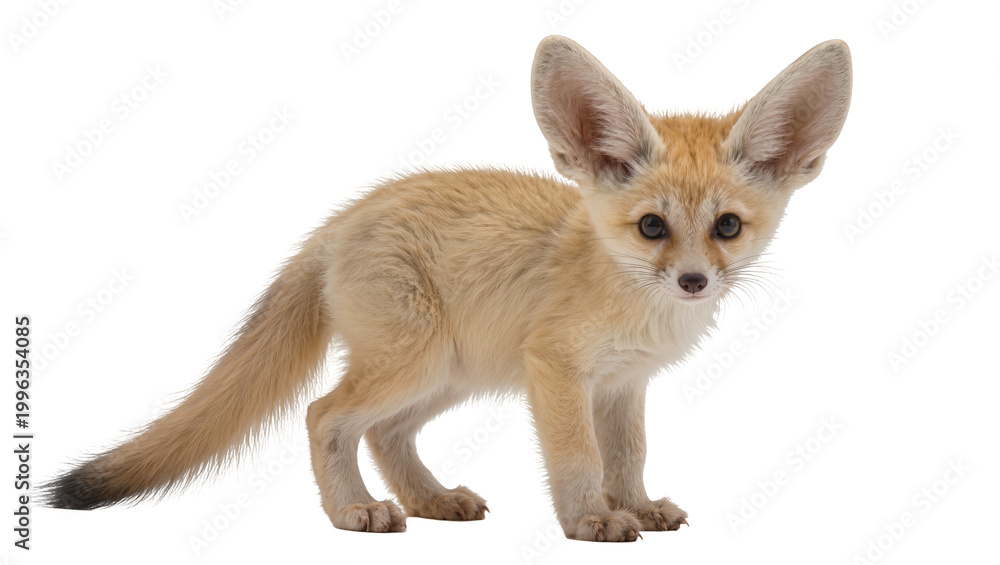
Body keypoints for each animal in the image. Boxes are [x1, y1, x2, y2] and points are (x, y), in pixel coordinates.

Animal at [44, 36, 852, 542]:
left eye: (726, 226)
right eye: (652, 226)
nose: (692, 280)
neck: (633, 305)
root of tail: (338, 221)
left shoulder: (623, 385)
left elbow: (628, 458)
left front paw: (638, 508)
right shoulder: (556, 370)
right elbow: (579, 459)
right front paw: (590, 520)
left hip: (448, 375)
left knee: (382, 432)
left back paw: (428, 500)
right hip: (418, 363)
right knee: (323, 415)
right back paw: (353, 511)